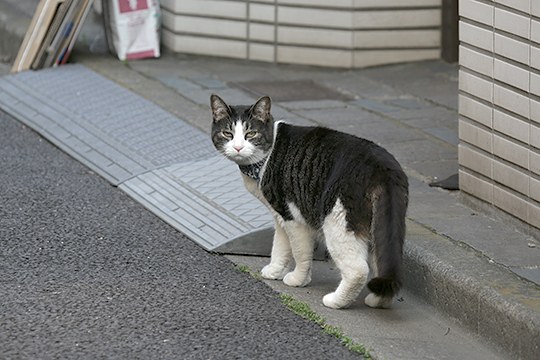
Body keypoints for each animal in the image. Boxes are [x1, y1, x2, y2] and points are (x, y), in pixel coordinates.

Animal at [209, 94, 408, 308]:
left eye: (251, 133)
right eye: (227, 133)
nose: (238, 147)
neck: (264, 161)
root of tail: (385, 169)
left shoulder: (293, 218)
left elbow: (300, 252)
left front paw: (298, 280)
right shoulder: (280, 215)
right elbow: (280, 246)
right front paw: (274, 270)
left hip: (337, 222)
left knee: (358, 270)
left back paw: (336, 301)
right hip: (380, 228)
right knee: (384, 263)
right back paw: (378, 300)